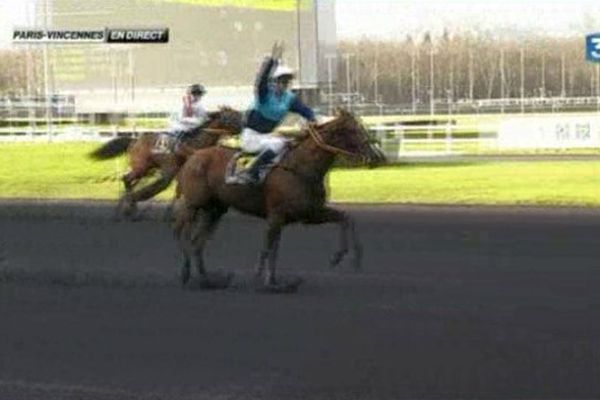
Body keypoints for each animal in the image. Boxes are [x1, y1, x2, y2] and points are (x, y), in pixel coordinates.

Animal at [88, 107, 241, 219]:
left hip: (146, 168)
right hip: (141, 167)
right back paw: (130, 207)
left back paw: (125, 206)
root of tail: (134, 140)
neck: (196, 143)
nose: (244, 126)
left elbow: (179, 190)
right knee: (127, 179)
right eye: (234, 116)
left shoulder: (181, 170)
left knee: (131, 182)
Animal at [172, 108, 384, 290]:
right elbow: (269, 249)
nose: (378, 156)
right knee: (182, 232)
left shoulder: (310, 213)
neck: (300, 168)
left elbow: (346, 218)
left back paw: (207, 279)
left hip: (214, 210)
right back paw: (185, 273)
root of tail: (194, 154)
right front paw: (264, 280)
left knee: (198, 242)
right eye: (353, 130)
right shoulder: (276, 216)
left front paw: (344, 257)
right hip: (193, 204)